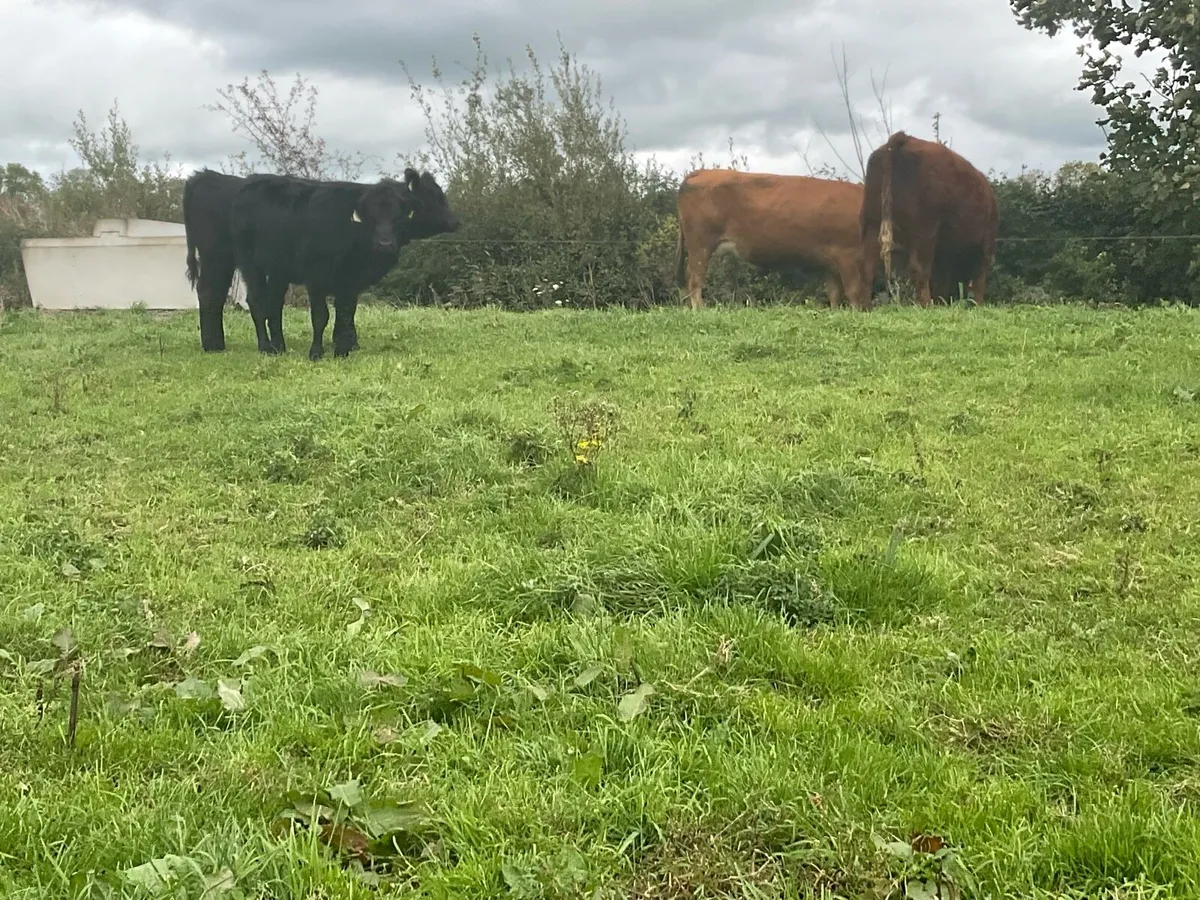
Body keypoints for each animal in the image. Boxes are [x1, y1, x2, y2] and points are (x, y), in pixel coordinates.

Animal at [230, 167, 459, 360]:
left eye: (399, 218)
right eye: (435, 198)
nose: (454, 221)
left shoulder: (351, 281)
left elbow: (346, 315)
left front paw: (343, 349)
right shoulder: (316, 277)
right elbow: (321, 316)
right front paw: (317, 352)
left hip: (279, 270)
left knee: (275, 305)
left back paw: (279, 346)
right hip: (250, 264)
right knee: (257, 302)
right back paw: (266, 347)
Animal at [673, 168, 871, 311]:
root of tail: (704, 171)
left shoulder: (832, 262)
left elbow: (835, 293)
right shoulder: (847, 255)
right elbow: (854, 292)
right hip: (700, 245)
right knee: (694, 279)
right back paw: (700, 309)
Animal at [860, 131, 998, 307]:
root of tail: (903, 139)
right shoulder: (985, 244)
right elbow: (978, 279)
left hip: (871, 223)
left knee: (867, 268)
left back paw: (865, 307)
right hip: (925, 230)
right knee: (920, 268)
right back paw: (927, 304)